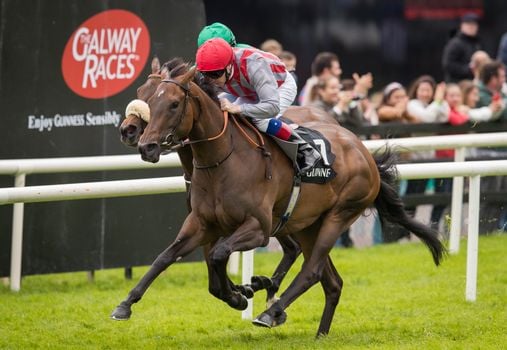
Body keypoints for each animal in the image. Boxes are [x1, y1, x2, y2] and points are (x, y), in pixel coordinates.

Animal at [111, 65, 444, 336]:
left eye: (173, 104)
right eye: (144, 96)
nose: (143, 143)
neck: (221, 160)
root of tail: (363, 150)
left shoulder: (257, 228)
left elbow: (219, 255)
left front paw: (241, 293)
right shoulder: (202, 224)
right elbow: (166, 258)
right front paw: (125, 304)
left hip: (338, 215)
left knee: (312, 270)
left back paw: (271, 312)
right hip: (308, 224)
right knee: (331, 281)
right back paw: (318, 334)